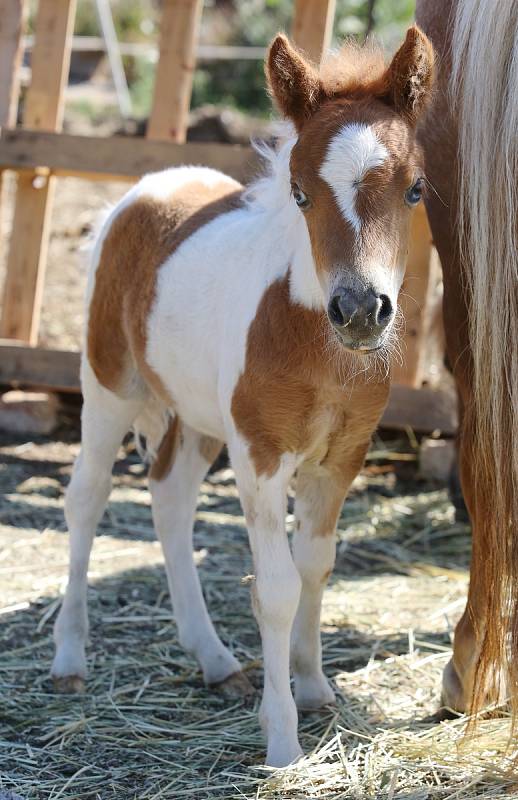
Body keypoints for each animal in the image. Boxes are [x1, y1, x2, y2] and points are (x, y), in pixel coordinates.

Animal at [51, 29, 434, 768]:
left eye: (415, 188)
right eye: (299, 192)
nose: (360, 311)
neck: (314, 340)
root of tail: (145, 188)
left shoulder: (341, 459)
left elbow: (316, 567)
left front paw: (314, 689)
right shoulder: (260, 455)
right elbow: (277, 590)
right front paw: (282, 739)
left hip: (199, 416)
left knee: (169, 496)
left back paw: (215, 660)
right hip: (109, 385)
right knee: (85, 498)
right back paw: (69, 659)